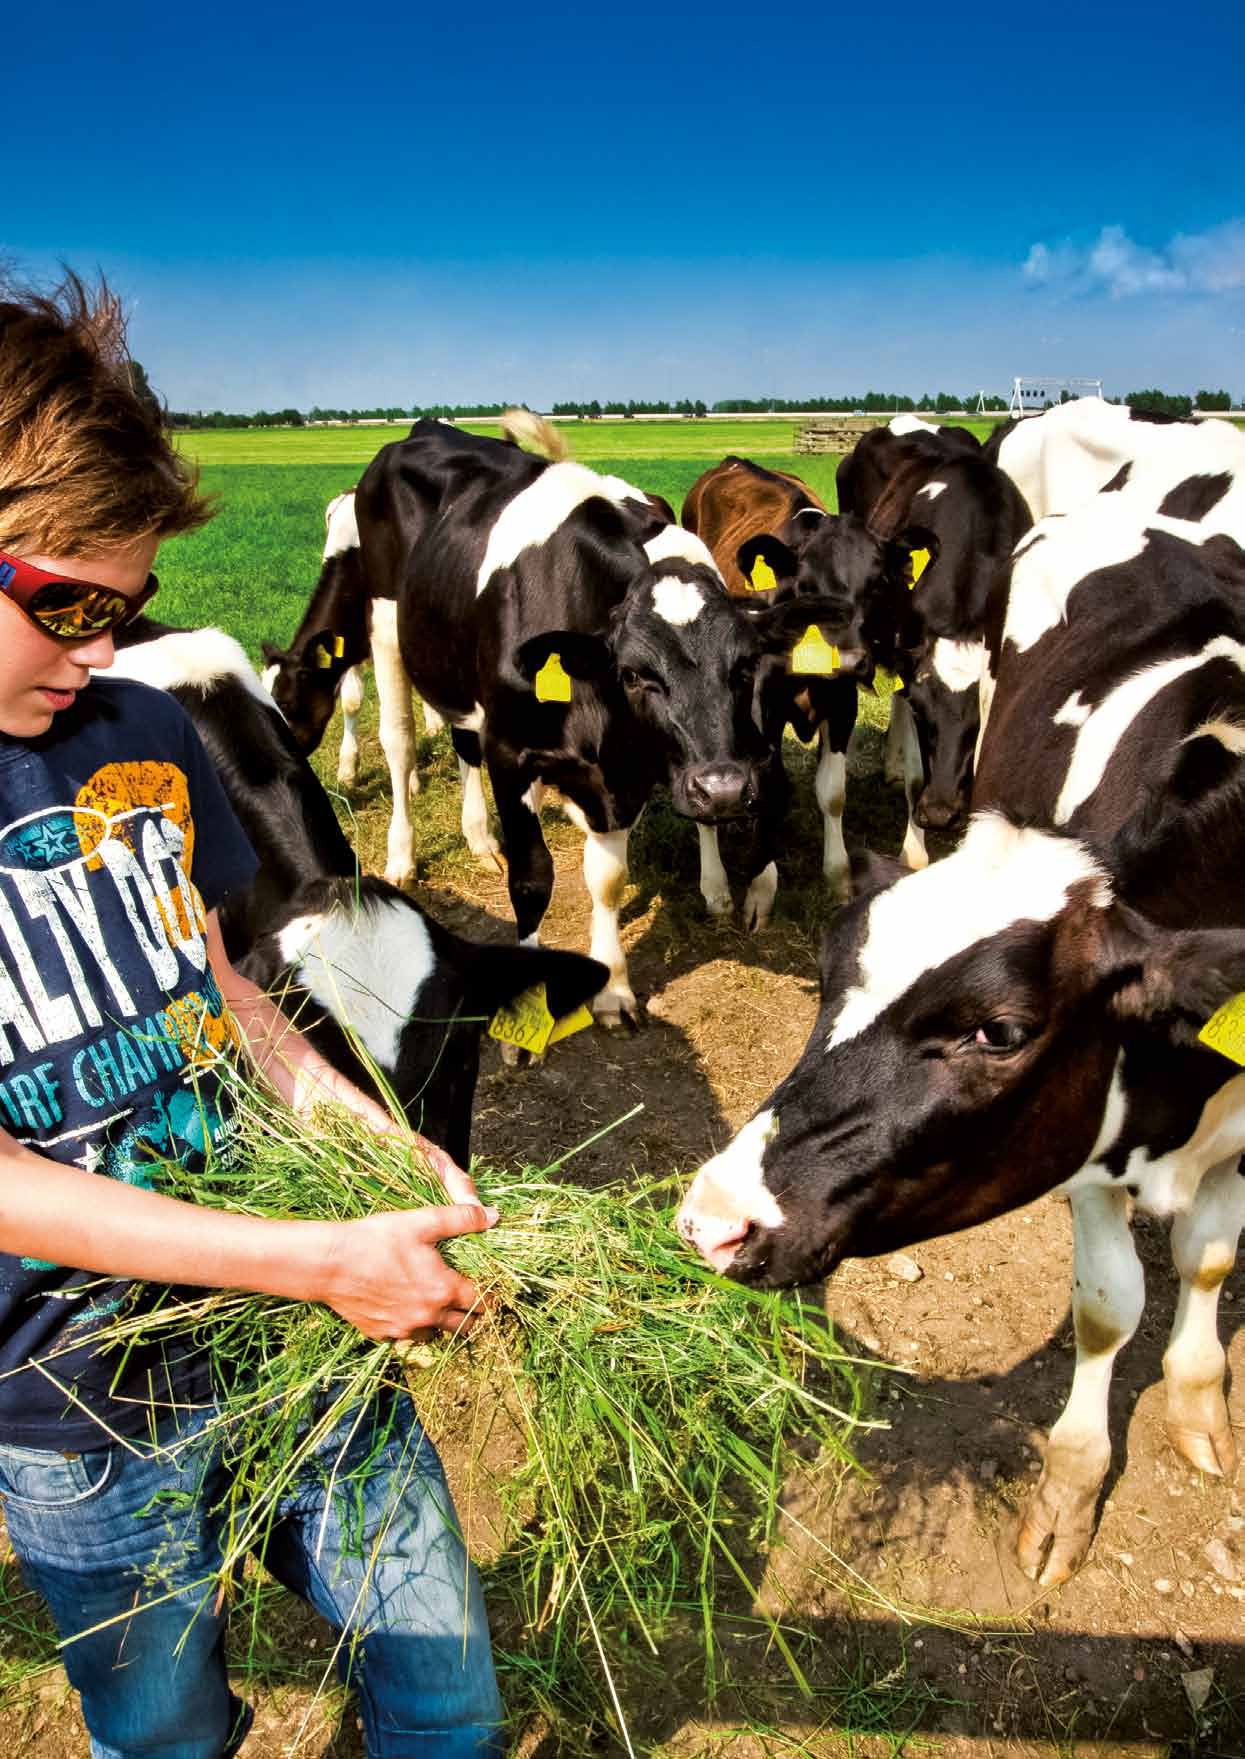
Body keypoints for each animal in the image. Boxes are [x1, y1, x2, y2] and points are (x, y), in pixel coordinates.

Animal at [675, 506, 1245, 1583]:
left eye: (1000, 1030)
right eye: (829, 973)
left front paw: (1197, 1400)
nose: (713, 1219)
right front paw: (1070, 1486)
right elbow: (1109, 1303)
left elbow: (1208, 1259)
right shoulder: (1082, 1147)